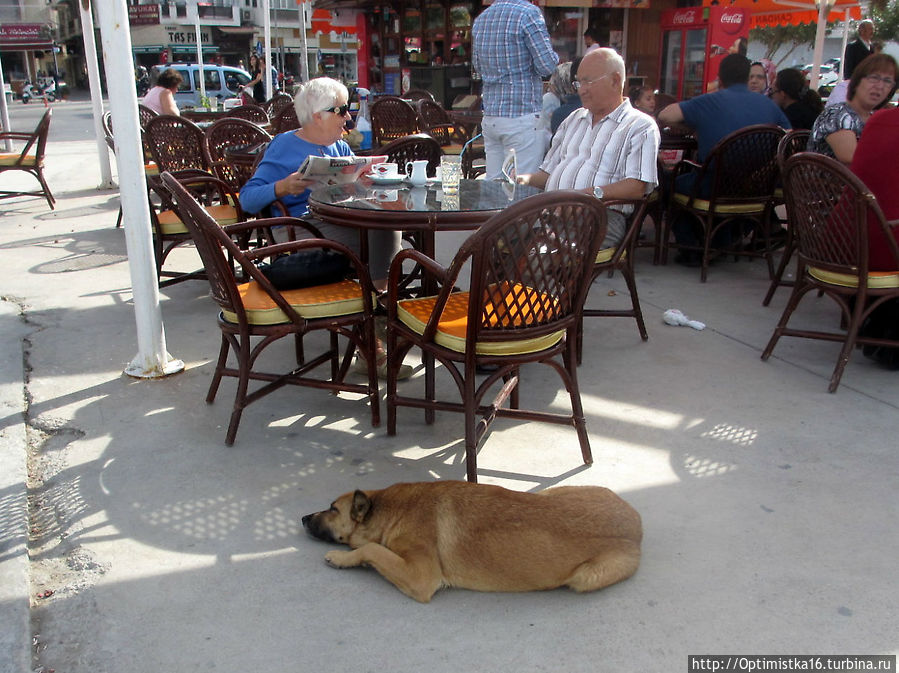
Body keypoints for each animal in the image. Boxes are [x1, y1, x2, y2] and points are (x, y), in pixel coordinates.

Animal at [306, 480, 644, 600]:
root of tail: (637, 525)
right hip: (550, 492)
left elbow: (372, 549)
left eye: (332, 508)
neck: (393, 509)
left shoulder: (420, 577)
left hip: (585, 577)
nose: (303, 519)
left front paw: (342, 558)